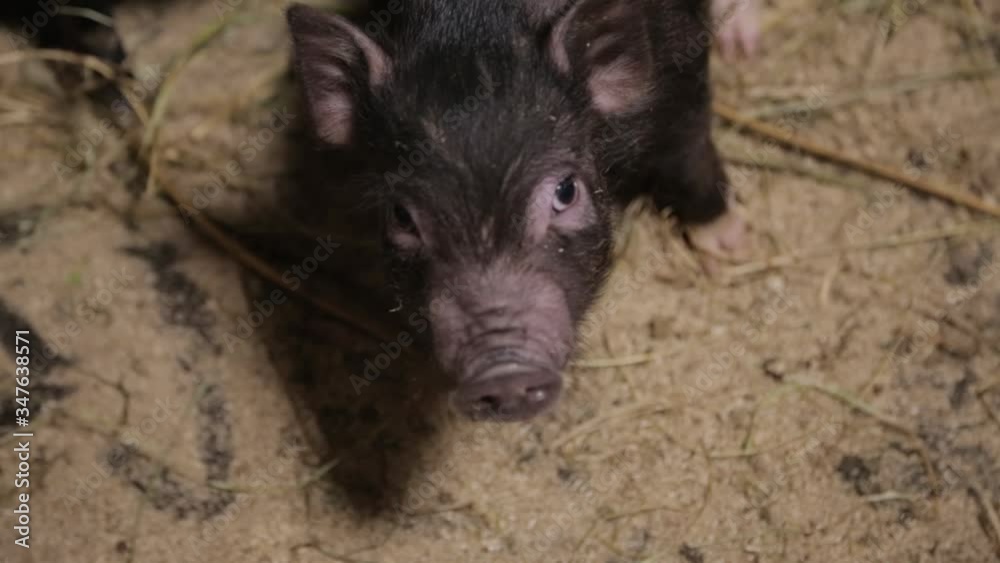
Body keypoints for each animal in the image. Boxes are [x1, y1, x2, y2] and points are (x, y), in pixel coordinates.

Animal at [288, 0, 749, 421]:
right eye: (402, 216)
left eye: (566, 191)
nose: (503, 372)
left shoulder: (682, 68)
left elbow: (688, 153)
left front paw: (726, 253)